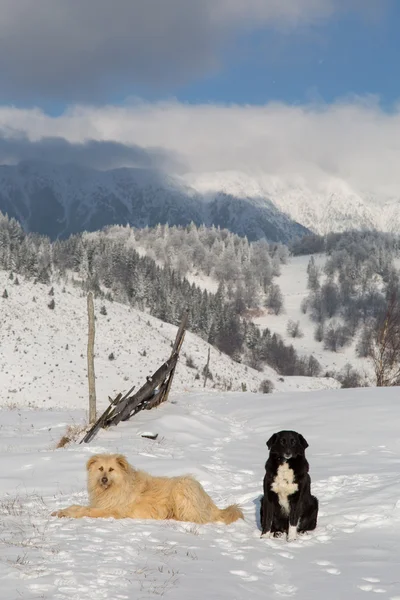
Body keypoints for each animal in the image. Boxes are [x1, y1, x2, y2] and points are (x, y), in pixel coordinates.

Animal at [50, 454, 244, 524]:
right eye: (100, 469)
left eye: (111, 469)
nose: (104, 479)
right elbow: (77, 506)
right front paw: (60, 511)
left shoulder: (111, 510)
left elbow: (85, 511)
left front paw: (68, 513)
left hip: (183, 487)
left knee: (196, 518)